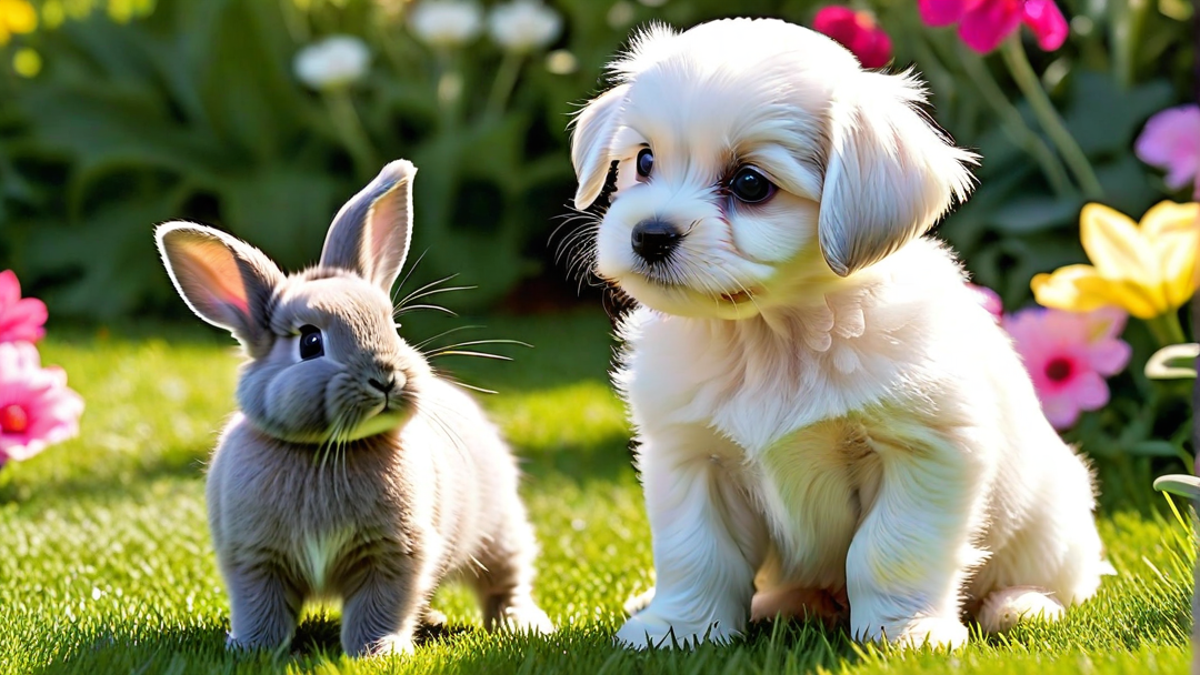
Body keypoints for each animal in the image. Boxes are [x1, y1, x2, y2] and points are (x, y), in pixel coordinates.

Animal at [152, 157, 554, 653]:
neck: (327, 450)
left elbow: (379, 607)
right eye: (310, 342)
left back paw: (522, 624)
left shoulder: (396, 554)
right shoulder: (252, 559)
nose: (386, 378)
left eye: (393, 327)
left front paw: (378, 652)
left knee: (505, 582)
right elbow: (260, 609)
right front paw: (251, 649)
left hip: (498, 531)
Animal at [571, 17, 1104, 648]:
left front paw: (904, 635)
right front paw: (678, 628)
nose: (649, 235)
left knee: (1057, 584)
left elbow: (888, 551)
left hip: (1053, 525)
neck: (772, 337)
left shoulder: (926, 452)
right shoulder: (690, 456)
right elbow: (696, 552)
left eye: (750, 184)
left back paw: (1020, 607)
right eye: (645, 161)